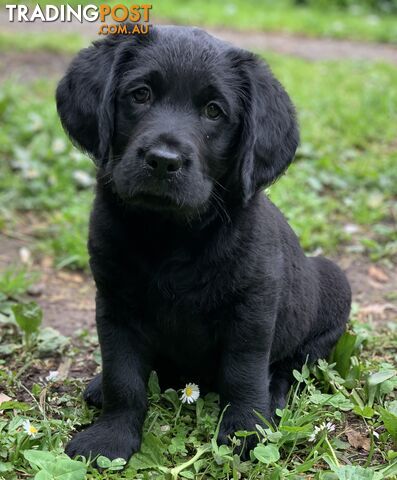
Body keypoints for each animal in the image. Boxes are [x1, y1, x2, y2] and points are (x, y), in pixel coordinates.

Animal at [55, 25, 350, 462]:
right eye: (140, 94)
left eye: (214, 111)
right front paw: (111, 437)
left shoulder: (253, 308)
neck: (171, 233)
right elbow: (123, 377)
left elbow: (244, 374)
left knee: (291, 365)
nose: (163, 160)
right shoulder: (115, 305)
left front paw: (246, 432)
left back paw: (274, 398)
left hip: (333, 286)